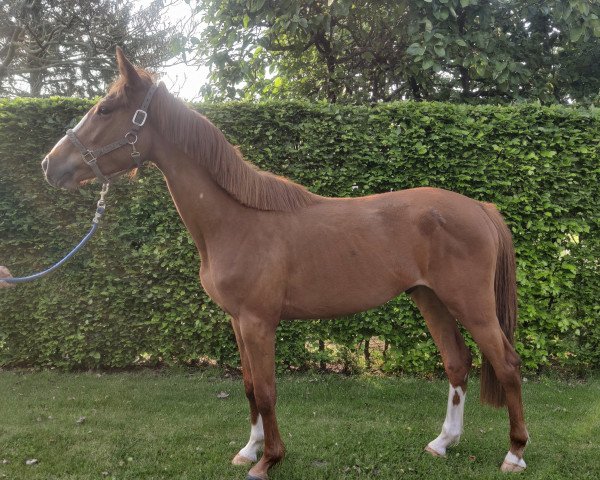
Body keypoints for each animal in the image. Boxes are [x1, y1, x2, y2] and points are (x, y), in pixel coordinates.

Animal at [42, 49, 528, 480]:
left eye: (105, 109)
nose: (50, 165)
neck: (236, 221)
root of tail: (480, 208)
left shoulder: (259, 321)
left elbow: (268, 390)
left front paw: (268, 460)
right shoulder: (237, 321)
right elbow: (249, 386)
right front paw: (249, 448)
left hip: (471, 305)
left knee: (506, 362)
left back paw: (515, 453)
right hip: (430, 298)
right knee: (457, 361)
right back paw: (442, 443)